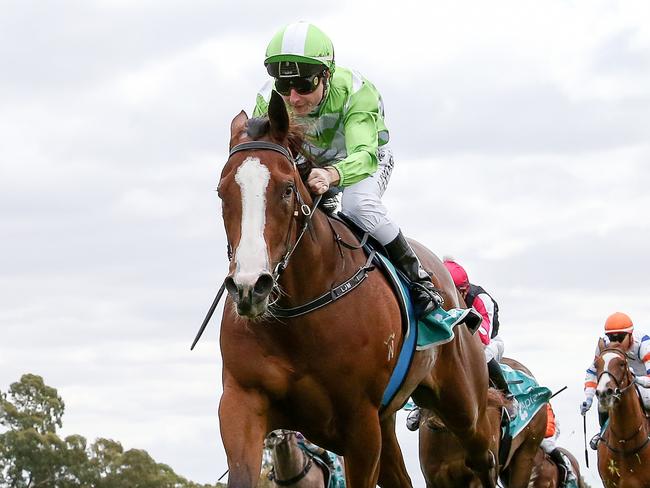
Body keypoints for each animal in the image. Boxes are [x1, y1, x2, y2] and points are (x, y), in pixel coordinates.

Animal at [215, 89, 494, 486]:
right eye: (222, 192)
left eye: (287, 189)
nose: (250, 287)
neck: (298, 316)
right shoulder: (243, 402)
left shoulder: (360, 423)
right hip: (388, 420)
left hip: (464, 405)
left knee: (483, 457)